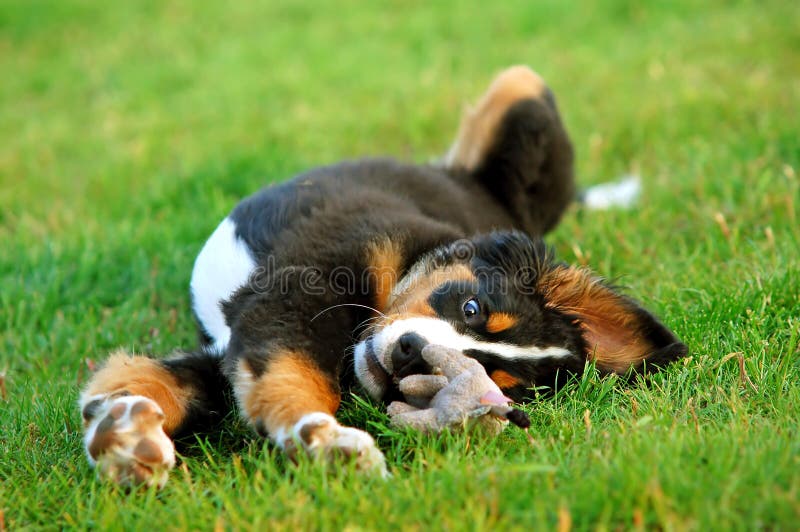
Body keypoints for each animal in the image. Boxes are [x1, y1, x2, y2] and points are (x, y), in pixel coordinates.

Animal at [76, 66, 688, 486]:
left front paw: (124, 433)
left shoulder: (242, 339)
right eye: (472, 308)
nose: (413, 354)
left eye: (496, 378)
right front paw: (324, 438)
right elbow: (294, 373)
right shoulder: (300, 291)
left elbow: (187, 382)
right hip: (525, 93)